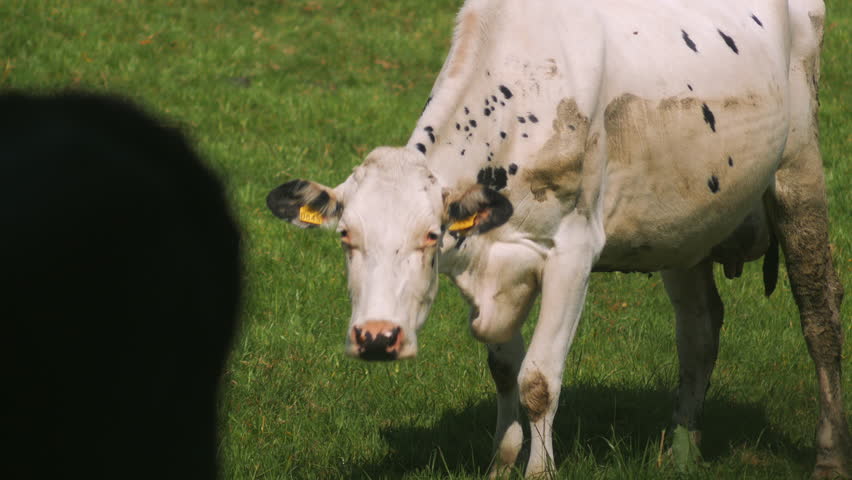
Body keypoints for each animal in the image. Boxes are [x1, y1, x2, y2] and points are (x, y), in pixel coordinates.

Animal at [266, 0, 849, 477]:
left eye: (430, 236)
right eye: (346, 236)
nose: (376, 337)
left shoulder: (573, 253)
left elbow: (538, 381)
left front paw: (538, 470)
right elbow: (503, 369)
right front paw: (500, 463)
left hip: (799, 168)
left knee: (819, 316)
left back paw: (828, 454)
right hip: (686, 224)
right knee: (700, 330)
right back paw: (682, 453)